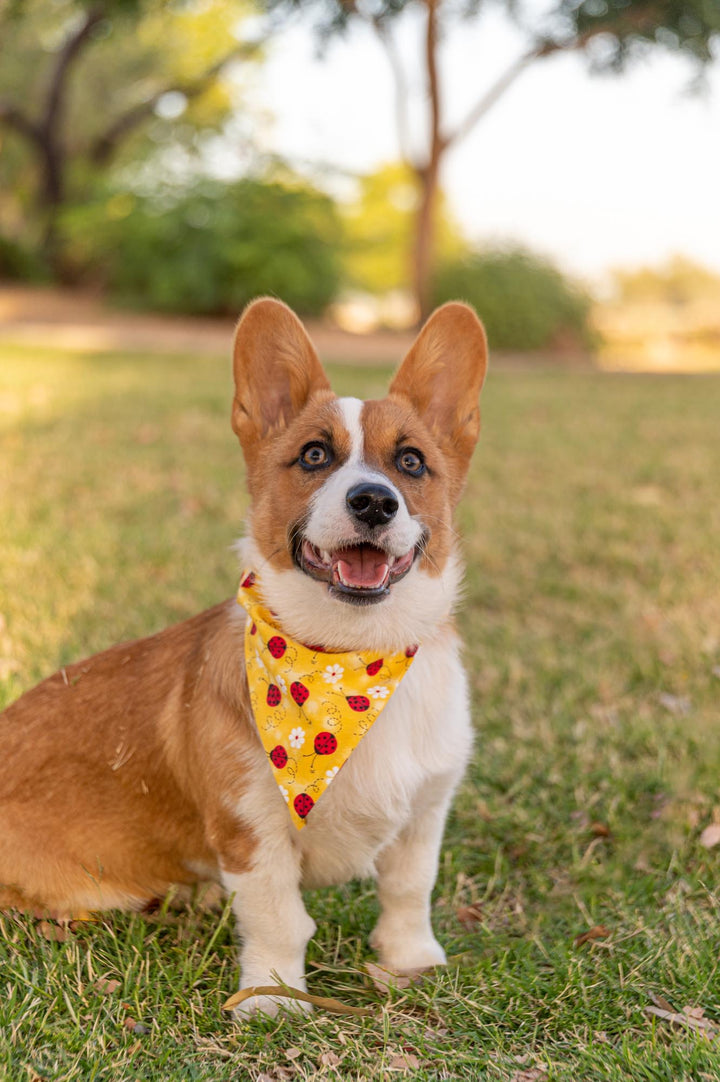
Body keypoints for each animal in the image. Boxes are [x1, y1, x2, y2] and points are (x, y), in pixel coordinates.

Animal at [0, 300, 485, 1017]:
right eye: (314, 454)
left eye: (412, 461)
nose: (373, 501)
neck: (349, 663)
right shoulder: (250, 830)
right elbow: (279, 916)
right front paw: (273, 999)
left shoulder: (424, 813)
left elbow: (408, 892)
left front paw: (409, 963)